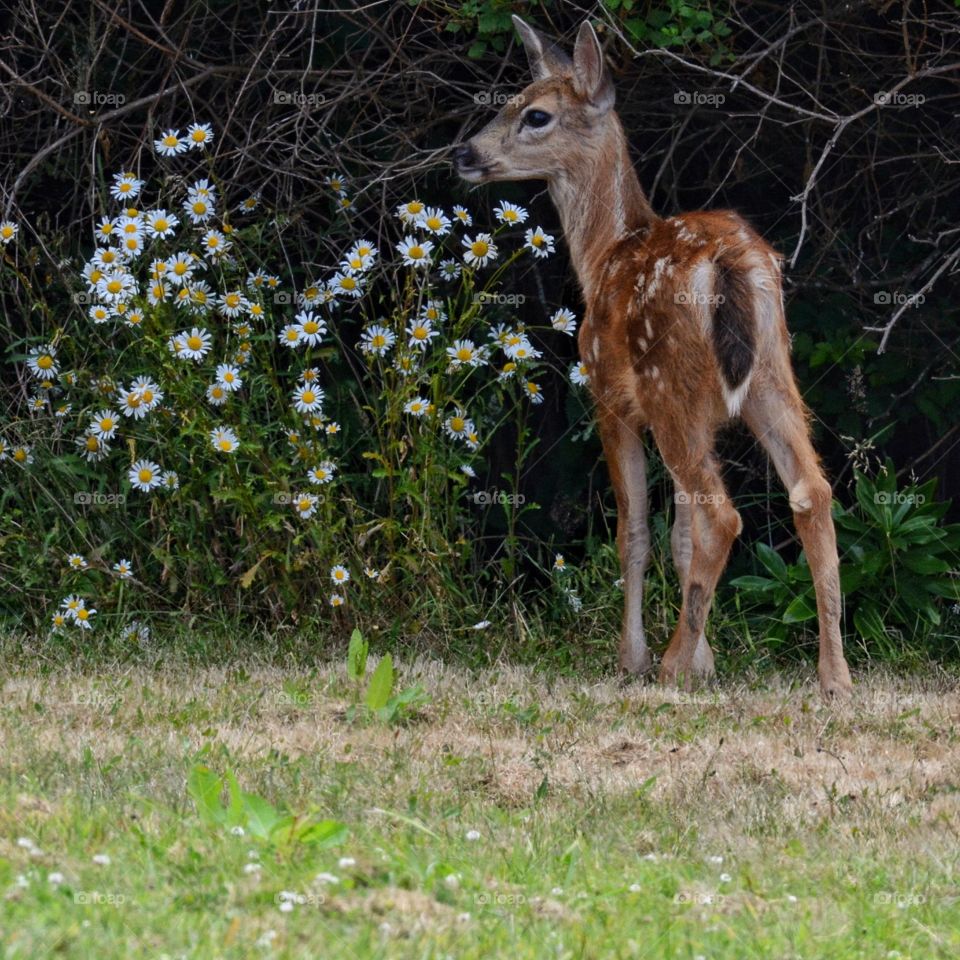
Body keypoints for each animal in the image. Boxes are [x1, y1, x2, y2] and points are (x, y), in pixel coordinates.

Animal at [453, 17, 853, 699]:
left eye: (535, 115)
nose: (465, 155)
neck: (602, 256)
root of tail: (731, 263)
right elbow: (680, 539)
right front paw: (707, 660)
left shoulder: (609, 400)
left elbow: (635, 534)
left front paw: (638, 657)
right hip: (772, 376)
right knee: (811, 491)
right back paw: (835, 678)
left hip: (671, 387)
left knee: (724, 515)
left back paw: (667, 668)